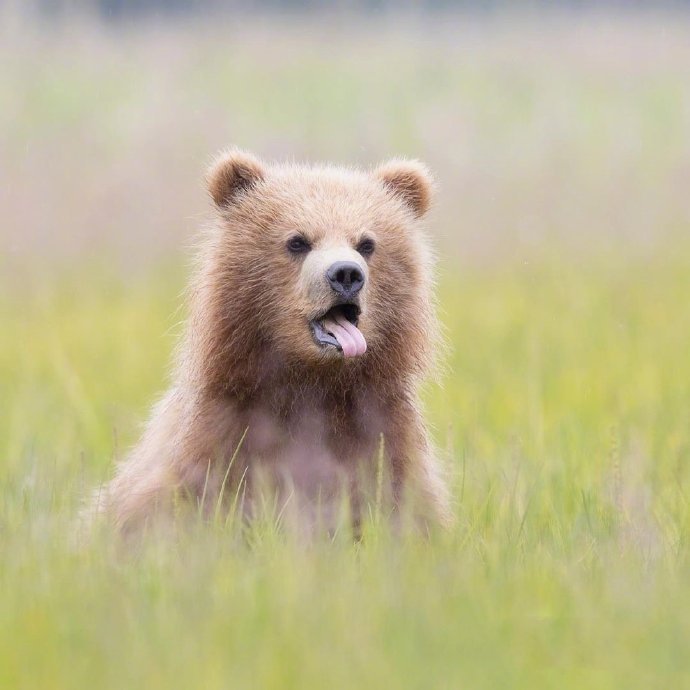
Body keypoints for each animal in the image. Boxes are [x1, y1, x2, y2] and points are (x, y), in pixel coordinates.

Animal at [99, 150, 448, 536]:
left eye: (367, 243)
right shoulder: (221, 435)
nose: (346, 274)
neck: (313, 381)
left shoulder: (382, 433)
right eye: (298, 241)